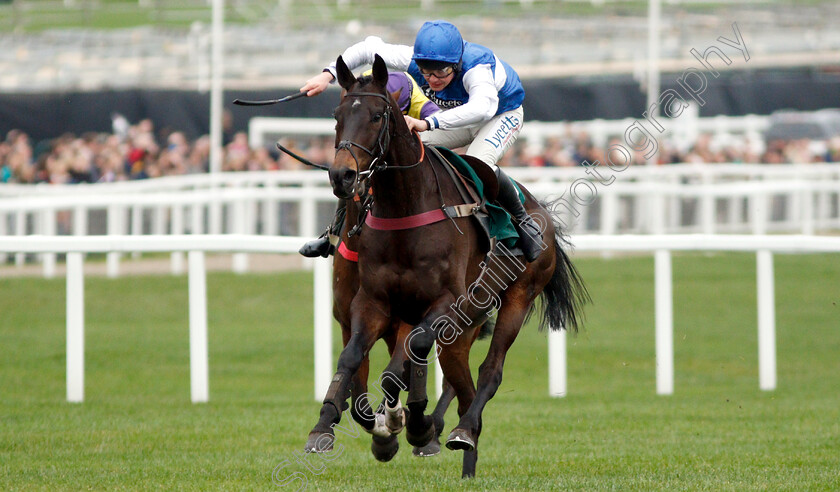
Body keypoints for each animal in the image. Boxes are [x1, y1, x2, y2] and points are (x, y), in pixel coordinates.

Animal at [306, 55, 588, 478]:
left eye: (377, 115)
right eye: (337, 116)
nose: (343, 175)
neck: (406, 212)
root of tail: (542, 213)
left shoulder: (443, 304)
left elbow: (406, 358)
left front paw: (411, 425)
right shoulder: (369, 303)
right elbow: (353, 360)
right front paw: (335, 428)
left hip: (516, 298)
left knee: (489, 371)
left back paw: (460, 431)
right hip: (467, 323)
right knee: (461, 382)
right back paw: (464, 453)